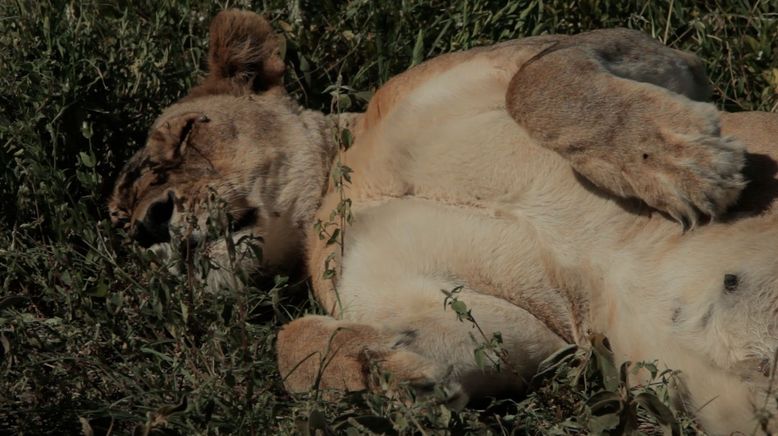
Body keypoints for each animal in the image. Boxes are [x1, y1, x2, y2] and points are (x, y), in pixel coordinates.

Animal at [109, 9, 776, 432]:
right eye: (120, 227)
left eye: (188, 134)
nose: (148, 225)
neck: (342, 181)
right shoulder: (532, 331)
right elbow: (291, 341)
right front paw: (390, 376)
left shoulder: (652, 57)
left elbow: (539, 82)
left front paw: (688, 163)